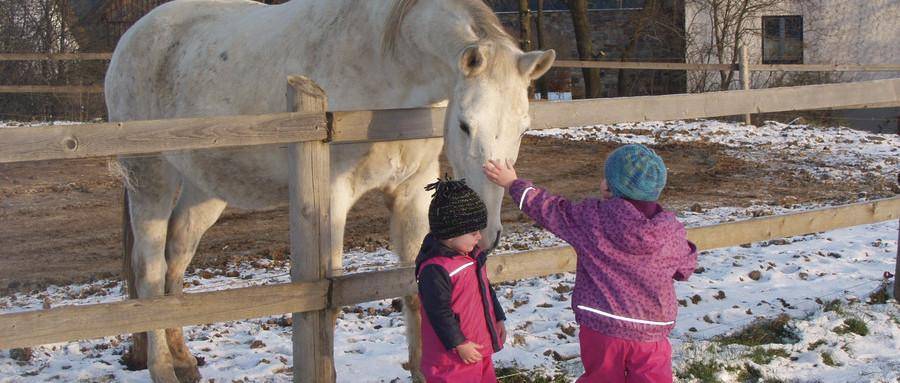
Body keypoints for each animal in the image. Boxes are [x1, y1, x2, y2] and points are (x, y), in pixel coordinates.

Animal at [105, 1, 556, 382]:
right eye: (464, 125)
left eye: (523, 127)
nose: (486, 234)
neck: (387, 63)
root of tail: (133, 37)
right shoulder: (334, 197)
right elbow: (330, 299)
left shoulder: (412, 192)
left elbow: (415, 286)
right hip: (151, 179)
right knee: (150, 270)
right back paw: (163, 369)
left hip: (204, 190)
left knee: (176, 260)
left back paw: (184, 360)